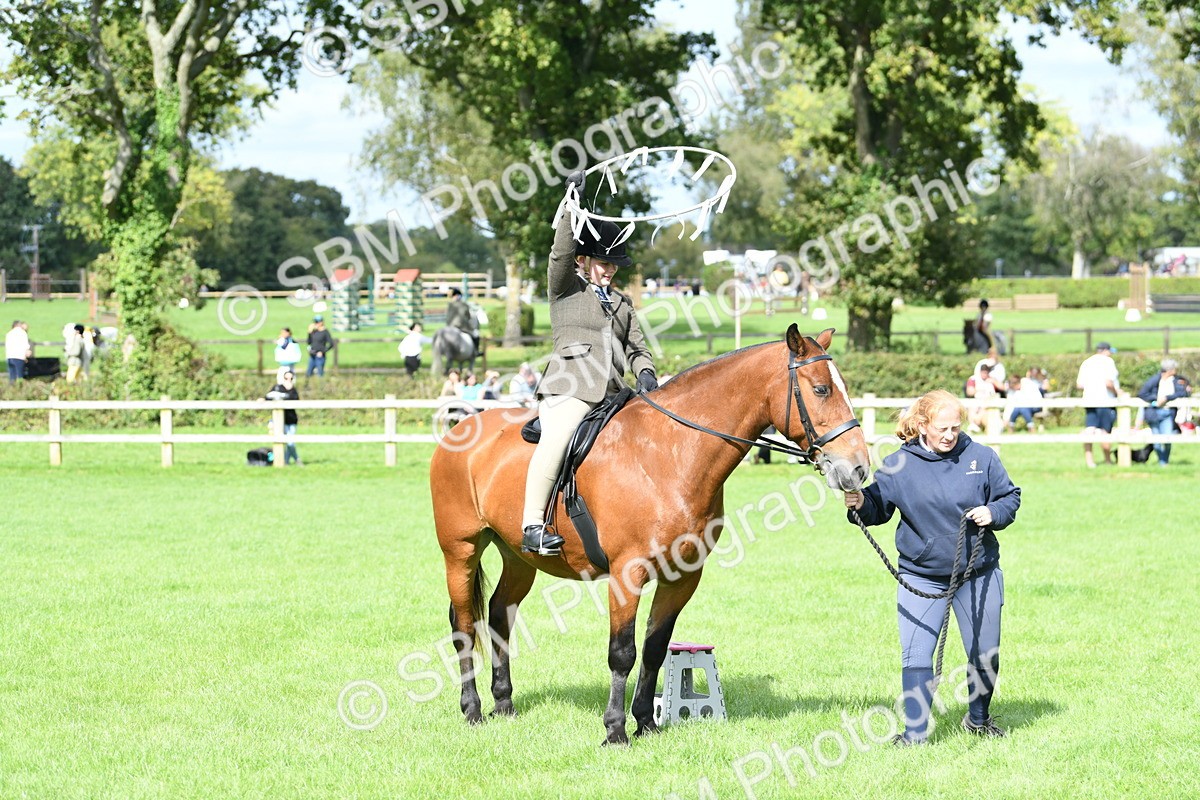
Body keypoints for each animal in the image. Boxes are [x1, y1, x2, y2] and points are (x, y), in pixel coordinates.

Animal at [429, 324, 871, 744]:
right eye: (821, 389)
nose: (858, 469)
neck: (669, 453)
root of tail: (461, 428)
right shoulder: (627, 574)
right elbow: (622, 652)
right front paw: (615, 730)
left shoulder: (682, 576)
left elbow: (655, 648)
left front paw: (645, 721)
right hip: (460, 551)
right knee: (464, 626)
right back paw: (472, 709)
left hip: (520, 557)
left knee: (500, 615)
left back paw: (504, 703)